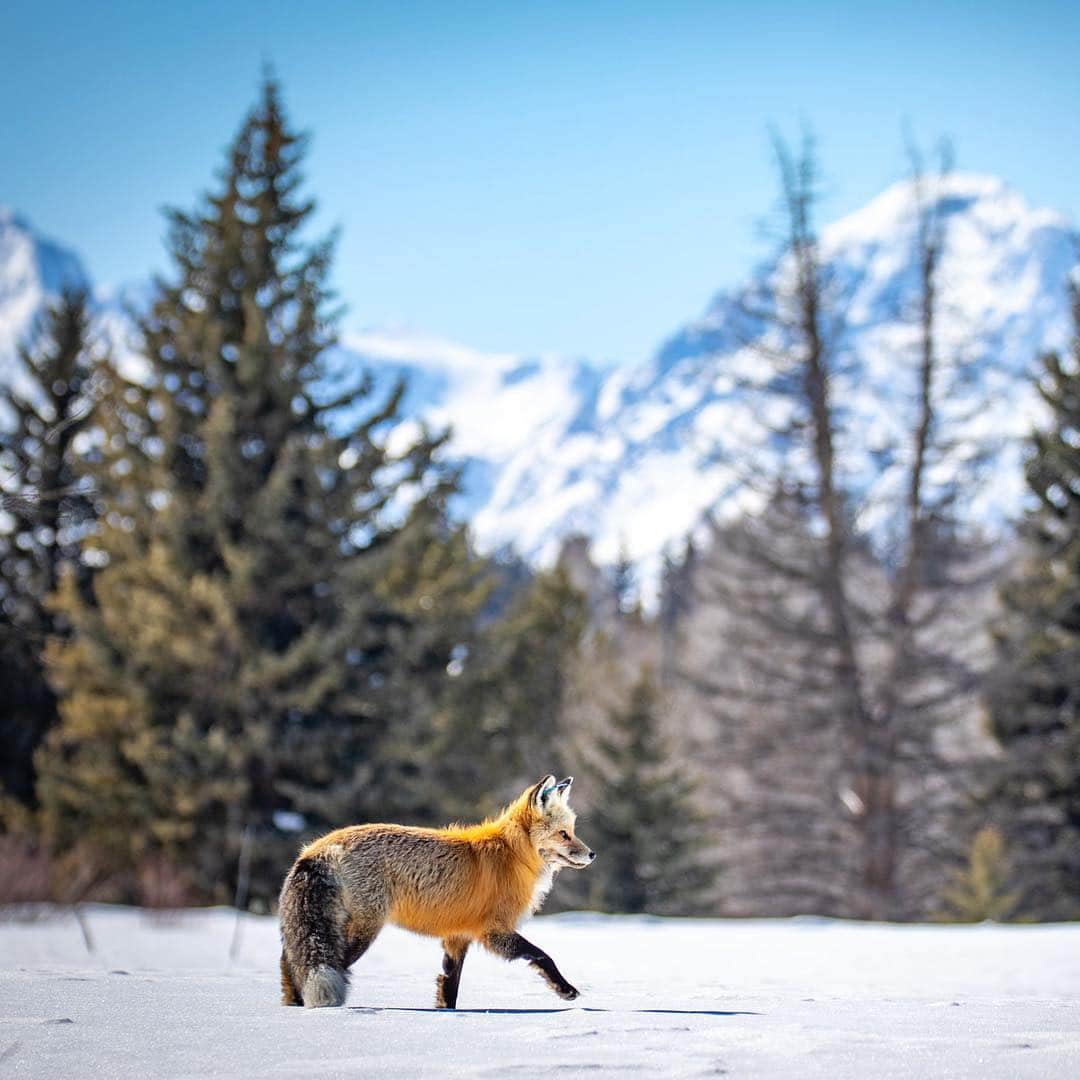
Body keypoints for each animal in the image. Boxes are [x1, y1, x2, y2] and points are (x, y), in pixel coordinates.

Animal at [278, 773, 596, 1006]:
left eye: (573, 831)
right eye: (564, 834)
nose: (592, 854)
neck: (513, 854)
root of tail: (319, 847)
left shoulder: (458, 936)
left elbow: (449, 987)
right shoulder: (494, 931)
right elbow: (543, 955)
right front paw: (565, 989)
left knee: (290, 962)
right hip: (363, 930)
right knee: (326, 964)